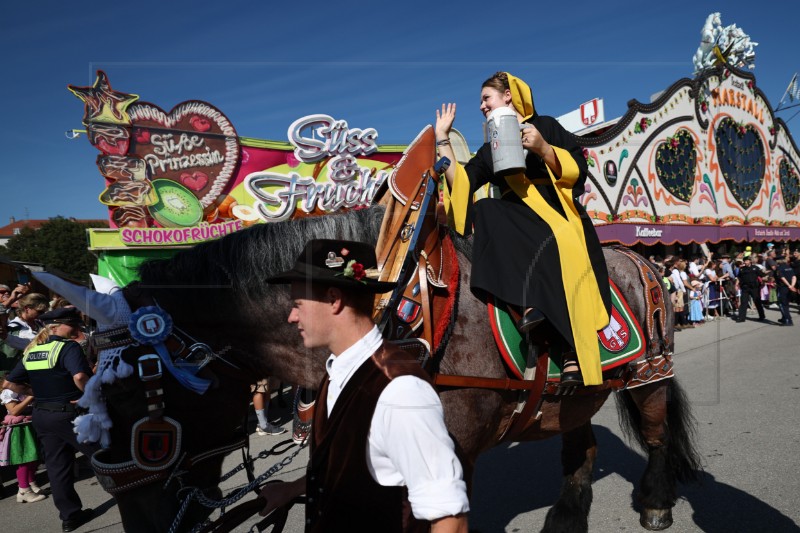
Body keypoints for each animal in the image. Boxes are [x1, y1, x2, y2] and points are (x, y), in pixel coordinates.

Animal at [64, 203, 700, 528]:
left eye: (138, 402)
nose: (141, 525)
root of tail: (637, 258)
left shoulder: (449, 456)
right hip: (573, 396)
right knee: (580, 445)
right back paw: (566, 517)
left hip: (649, 373)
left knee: (655, 434)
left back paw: (656, 502)